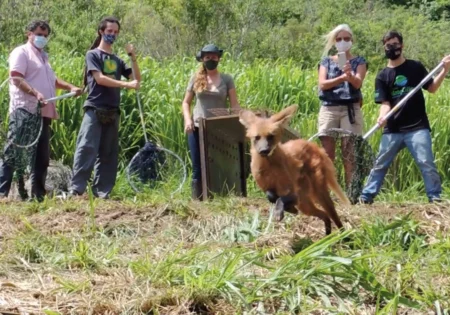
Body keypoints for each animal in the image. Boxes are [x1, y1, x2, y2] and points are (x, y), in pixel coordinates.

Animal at [239, 105, 348, 236]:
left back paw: (344, 236)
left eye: (270, 136)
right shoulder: (269, 187)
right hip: (305, 205)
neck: (269, 168)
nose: (264, 151)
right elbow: (271, 195)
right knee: (325, 215)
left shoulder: (293, 193)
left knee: (333, 216)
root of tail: (313, 146)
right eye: (257, 138)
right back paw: (327, 237)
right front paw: (289, 209)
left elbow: (281, 198)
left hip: (318, 194)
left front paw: (281, 211)